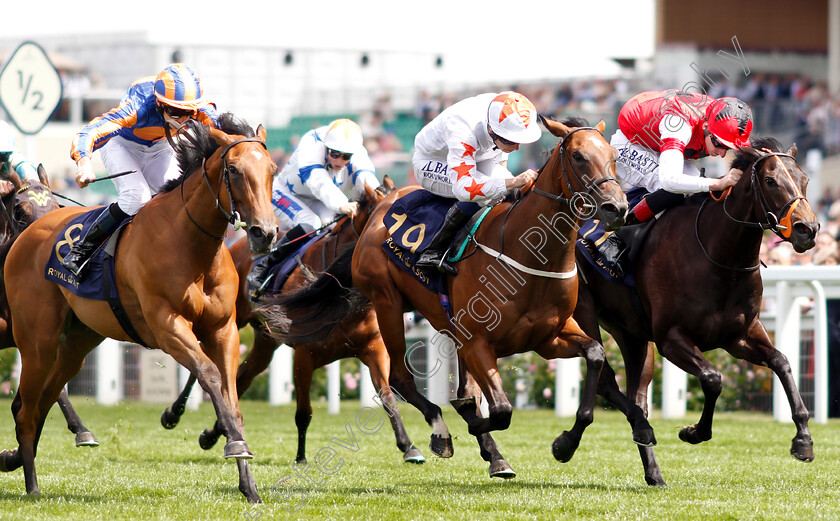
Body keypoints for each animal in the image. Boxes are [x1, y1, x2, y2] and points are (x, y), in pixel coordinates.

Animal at [162, 176, 430, 464]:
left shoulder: (374, 349)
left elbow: (389, 398)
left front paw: (409, 446)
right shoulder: (304, 355)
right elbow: (304, 412)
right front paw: (301, 457)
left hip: (266, 341)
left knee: (241, 378)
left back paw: (214, 433)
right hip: (228, 320)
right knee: (201, 366)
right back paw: (174, 413)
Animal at [262, 117, 656, 476]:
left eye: (613, 156)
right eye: (577, 156)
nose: (617, 208)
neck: (527, 254)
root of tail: (380, 210)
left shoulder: (548, 339)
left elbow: (595, 356)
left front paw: (565, 444)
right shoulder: (479, 342)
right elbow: (498, 410)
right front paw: (462, 425)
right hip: (387, 303)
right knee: (401, 379)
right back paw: (440, 432)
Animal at [576, 136, 816, 486]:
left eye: (805, 179)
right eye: (771, 181)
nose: (807, 230)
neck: (719, 255)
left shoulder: (741, 335)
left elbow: (782, 362)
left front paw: (803, 440)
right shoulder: (671, 338)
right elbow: (713, 379)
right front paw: (693, 432)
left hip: (632, 335)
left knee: (636, 396)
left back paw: (652, 469)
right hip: (583, 315)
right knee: (607, 380)